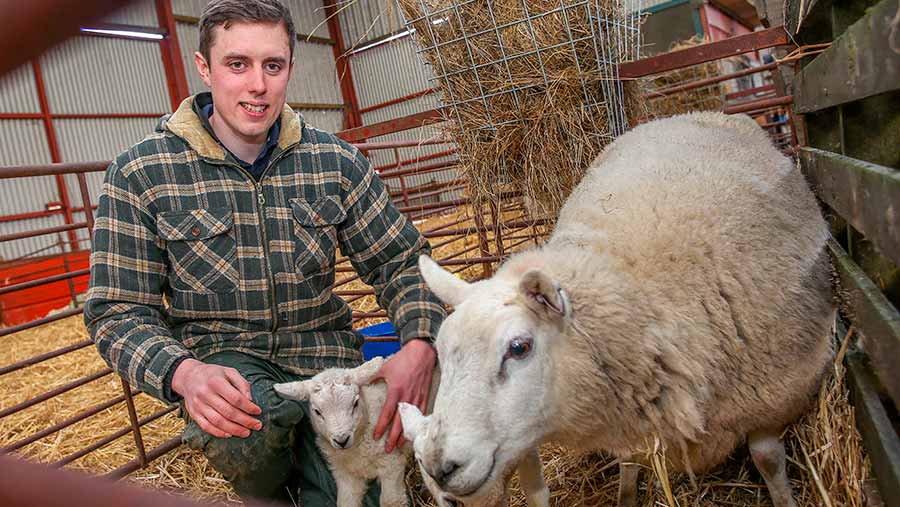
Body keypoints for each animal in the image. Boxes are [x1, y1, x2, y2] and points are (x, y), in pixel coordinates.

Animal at [404, 112, 832, 507]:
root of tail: (685, 114)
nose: (439, 466)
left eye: (519, 348)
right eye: (441, 355)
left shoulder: (774, 395)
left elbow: (769, 460)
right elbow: (629, 462)